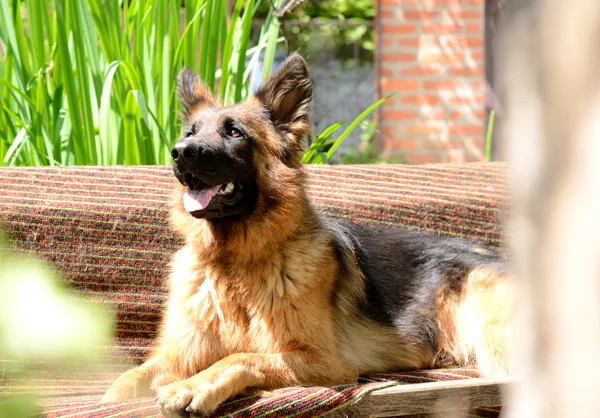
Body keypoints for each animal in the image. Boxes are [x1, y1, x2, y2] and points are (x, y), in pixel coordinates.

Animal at [101, 54, 512, 416]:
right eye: (190, 133)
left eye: (234, 132)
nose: (180, 153)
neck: (234, 262)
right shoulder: (180, 352)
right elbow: (132, 377)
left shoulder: (324, 362)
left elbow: (240, 357)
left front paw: (192, 386)